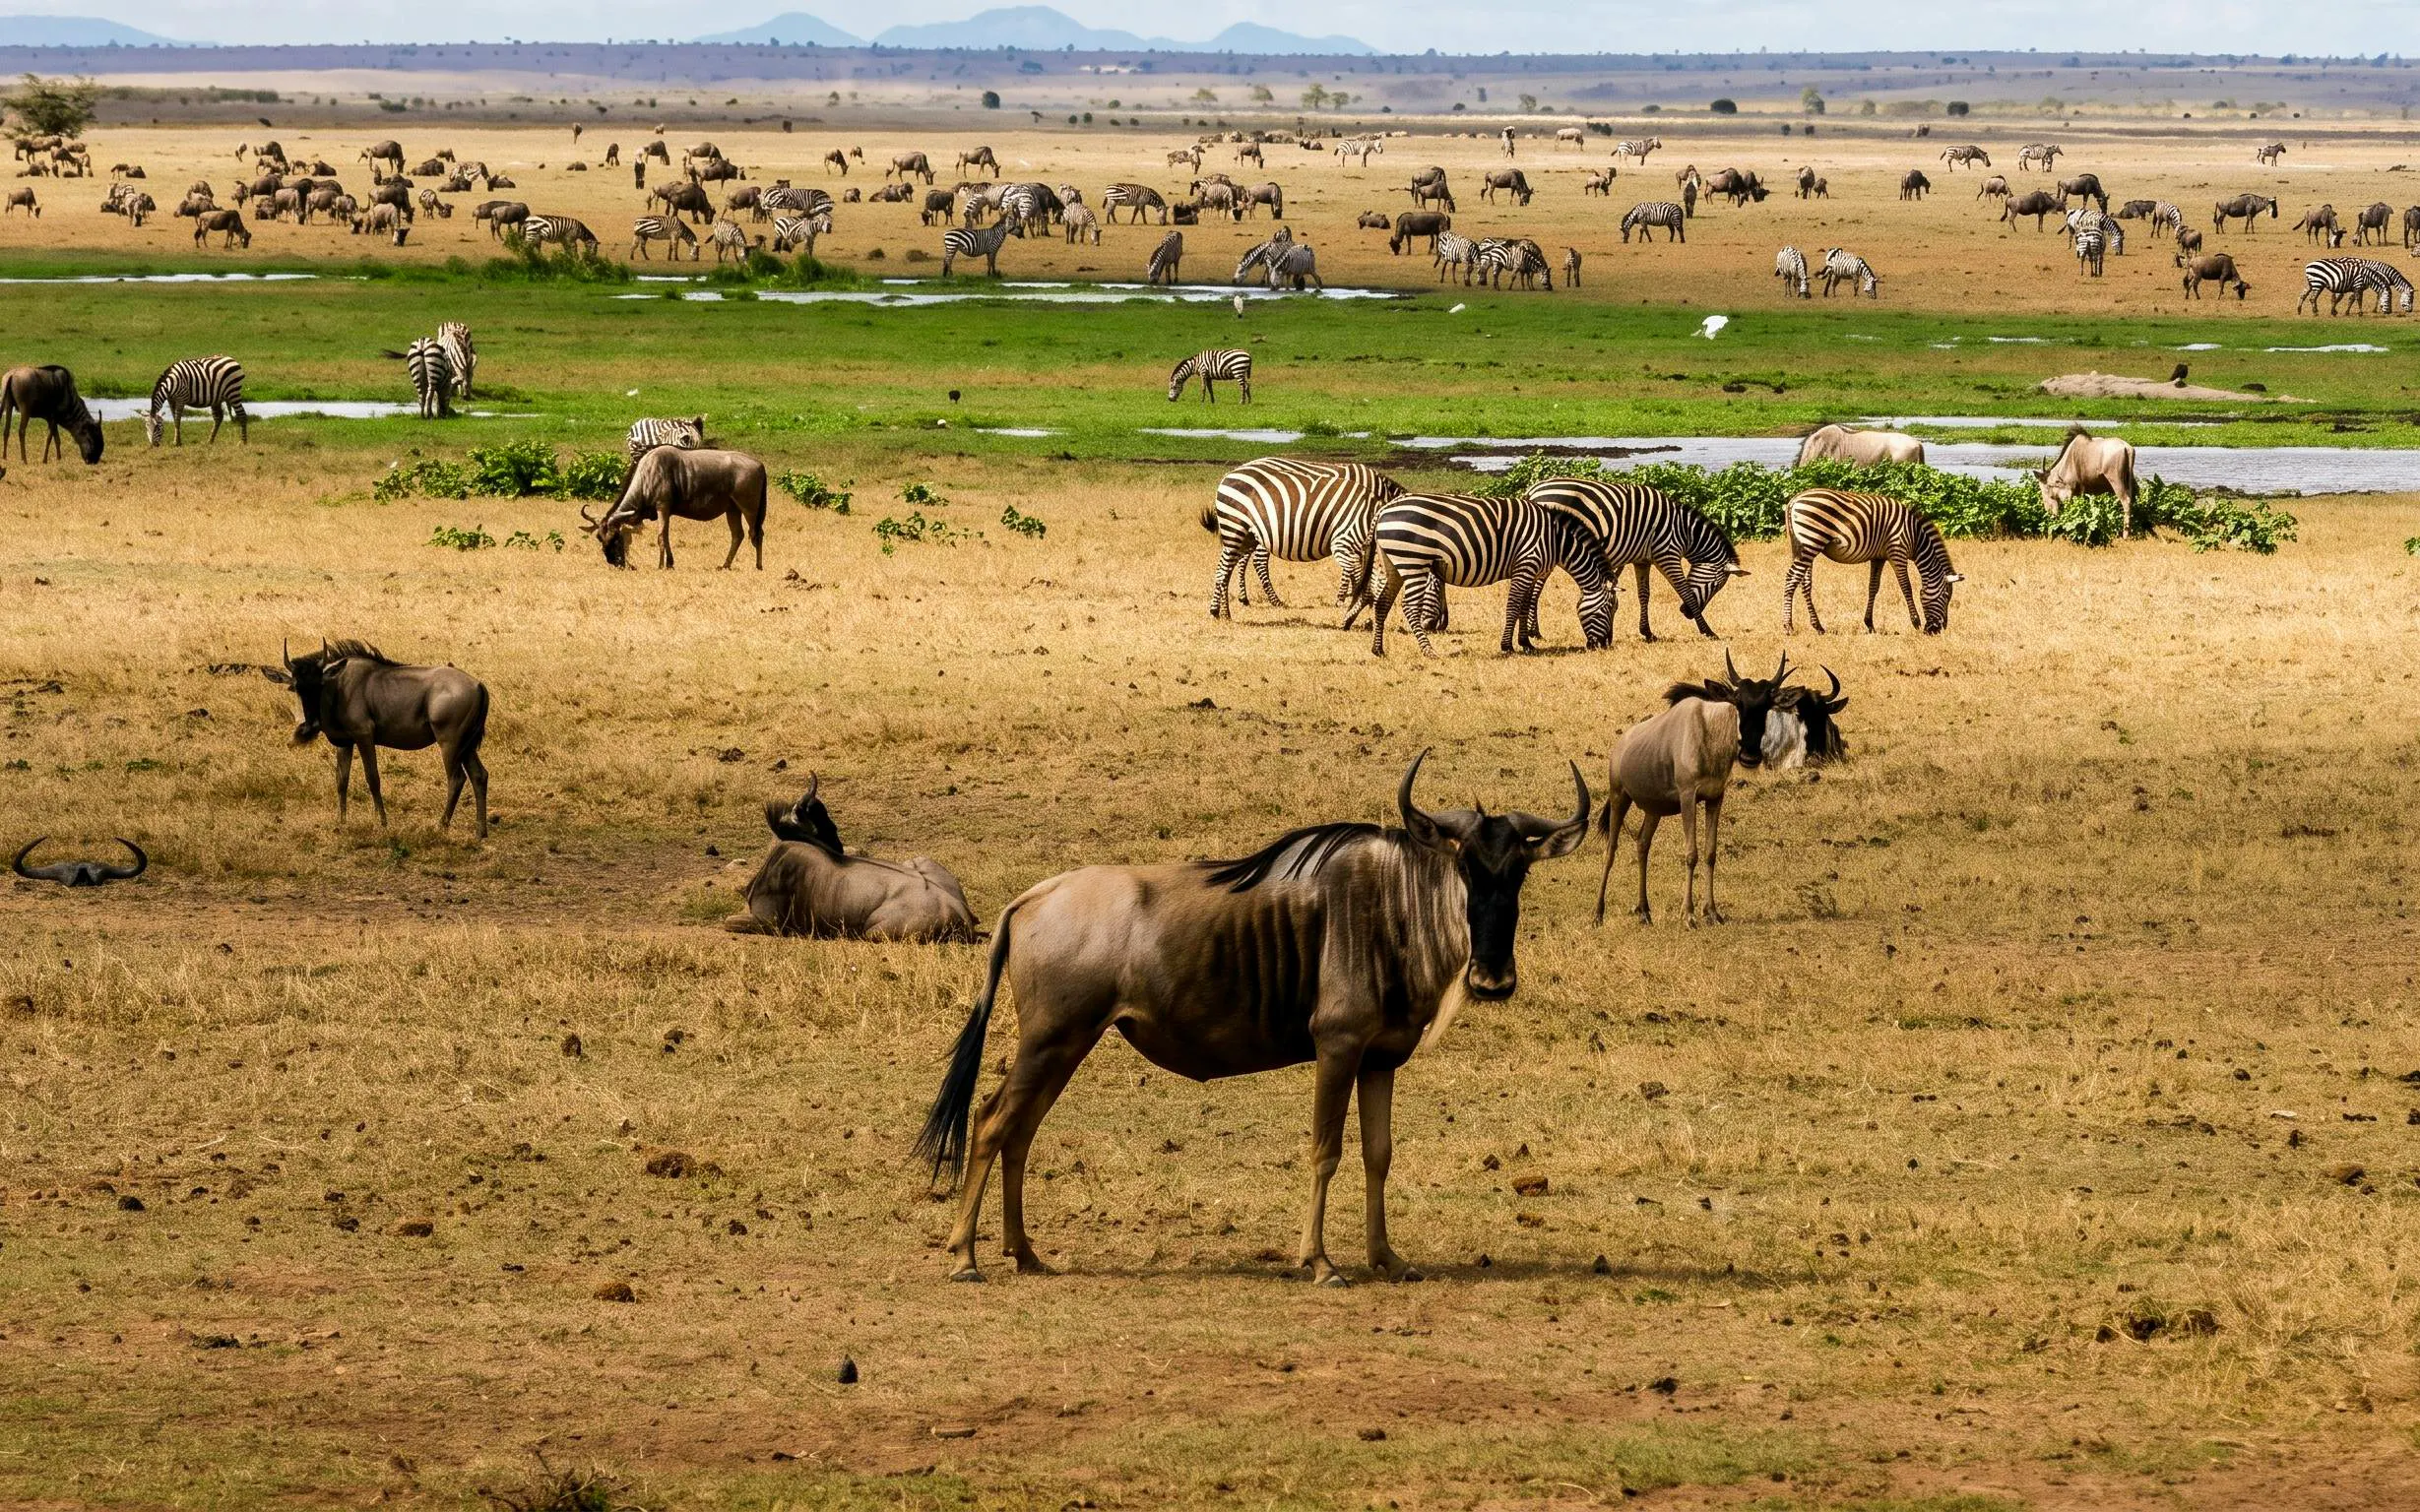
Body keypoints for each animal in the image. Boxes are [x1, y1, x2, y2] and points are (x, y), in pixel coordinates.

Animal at [1202, 458, 1403, 621]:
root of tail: (1229, 474)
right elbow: (1354, 573)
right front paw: (1343, 598)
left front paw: (1347, 597)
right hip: (1245, 529)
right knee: (1251, 563)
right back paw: (1265, 602)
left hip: (1249, 534)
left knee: (1236, 563)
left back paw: (1233, 604)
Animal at [1367, 493, 1612, 657]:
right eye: (1609, 609)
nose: (1605, 645)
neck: (1555, 539)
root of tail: (1384, 509)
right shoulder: (1526, 565)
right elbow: (1513, 606)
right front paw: (1507, 646)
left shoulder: (1531, 572)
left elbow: (1524, 606)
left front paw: (1526, 644)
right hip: (1413, 562)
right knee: (1409, 607)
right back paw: (1429, 651)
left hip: (1394, 563)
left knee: (1382, 603)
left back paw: (1378, 650)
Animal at [1526, 479, 1745, 641]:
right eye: (1716, 586)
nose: (1686, 613)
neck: (1684, 532)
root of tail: (1533, 490)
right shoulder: (1667, 555)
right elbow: (1685, 591)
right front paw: (1708, 631)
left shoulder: (1642, 560)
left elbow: (1643, 594)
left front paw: (1647, 632)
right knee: (1535, 590)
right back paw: (1534, 632)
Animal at [1782, 489, 1961, 635]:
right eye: (1946, 596)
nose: (1939, 630)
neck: (1916, 537)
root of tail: (1794, 500)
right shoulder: (1897, 551)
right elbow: (1906, 586)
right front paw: (1916, 621)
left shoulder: (1878, 557)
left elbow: (1873, 587)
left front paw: (1869, 624)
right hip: (1811, 541)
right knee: (1791, 578)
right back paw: (1788, 626)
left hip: (1802, 546)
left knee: (1804, 583)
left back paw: (1818, 626)